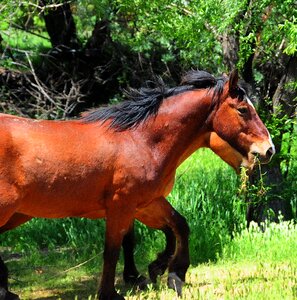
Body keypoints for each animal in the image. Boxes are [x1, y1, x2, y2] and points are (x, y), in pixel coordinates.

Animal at [0, 69, 272, 298]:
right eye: (242, 110)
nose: (269, 150)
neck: (140, 139)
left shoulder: (146, 202)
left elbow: (177, 226)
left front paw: (170, 273)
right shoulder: (122, 206)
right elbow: (113, 249)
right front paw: (112, 292)